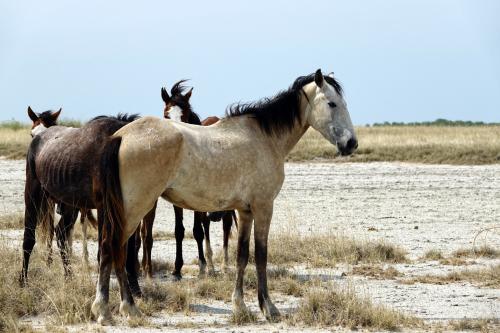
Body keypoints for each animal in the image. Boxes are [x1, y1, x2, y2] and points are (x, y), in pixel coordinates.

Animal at [26, 107, 98, 266]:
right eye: (32, 134)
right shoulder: (50, 201)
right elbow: (50, 228)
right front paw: (49, 259)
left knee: (82, 224)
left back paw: (84, 258)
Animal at [92, 68, 358, 322]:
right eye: (332, 103)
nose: (351, 143)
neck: (265, 138)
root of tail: (121, 135)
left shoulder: (245, 211)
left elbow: (242, 255)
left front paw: (240, 305)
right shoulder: (263, 208)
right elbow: (261, 255)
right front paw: (268, 307)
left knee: (108, 248)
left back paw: (105, 309)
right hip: (134, 209)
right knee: (115, 247)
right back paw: (123, 308)